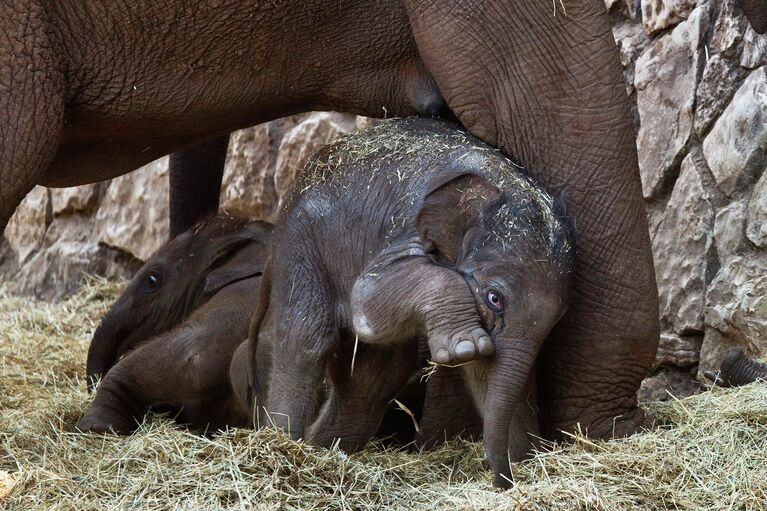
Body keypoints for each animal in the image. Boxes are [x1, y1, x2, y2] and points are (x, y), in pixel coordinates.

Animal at [246, 117, 576, 488]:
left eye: (558, 320)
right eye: (495, 298)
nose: (505, 482)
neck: (501, 184)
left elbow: (485, 373)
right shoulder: (404, 228)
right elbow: (367, 295)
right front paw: (465, 348)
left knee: (372, 376)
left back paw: (325, 453)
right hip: (301, 247)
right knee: (306, 340)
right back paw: (284, 448)